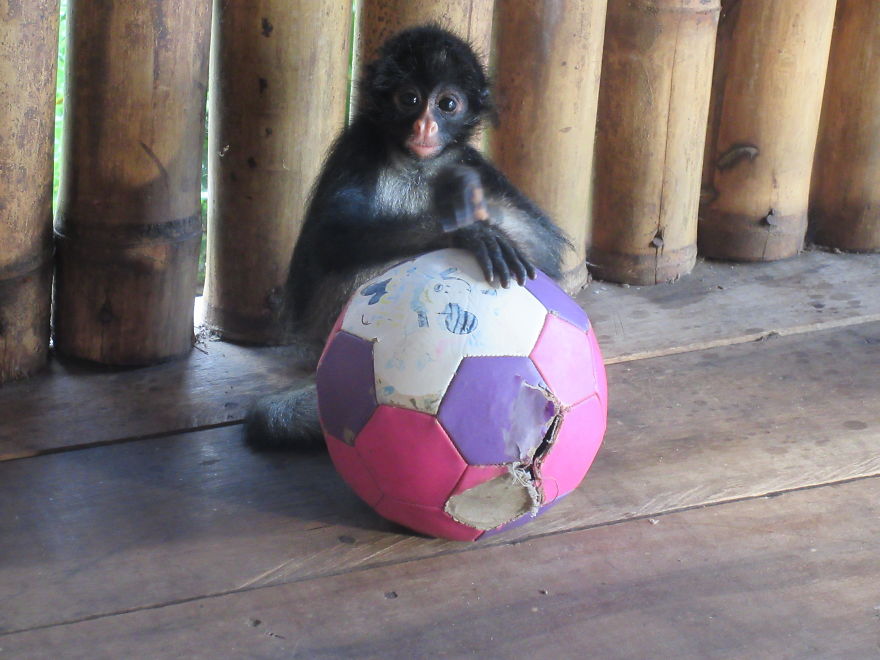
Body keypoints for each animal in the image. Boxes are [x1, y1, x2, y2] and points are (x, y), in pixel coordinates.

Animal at [244, 25, 571, 450]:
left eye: (447, 104)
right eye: (410, 99)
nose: (424, 126)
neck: (416, 163)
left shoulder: (465, 158)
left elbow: (543, 247)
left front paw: (469, 203)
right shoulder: (360, 145)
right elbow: (329, 240)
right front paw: (469, 231)